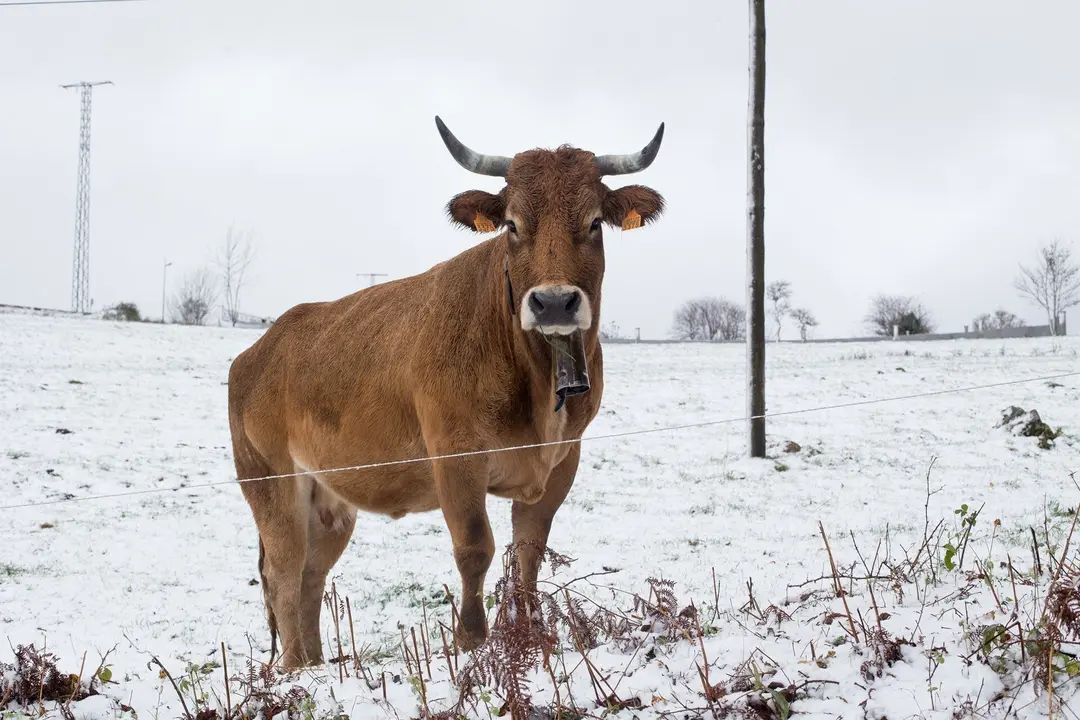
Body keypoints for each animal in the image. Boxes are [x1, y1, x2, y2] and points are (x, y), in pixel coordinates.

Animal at [226, 116, 667, 669]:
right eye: (512, 224)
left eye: (593, 223)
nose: (553, 303)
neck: (537, 381)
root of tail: (259, 348)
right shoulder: (456, 456)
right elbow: (476, 547)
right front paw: (471, 641)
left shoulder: (564, 460)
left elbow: (529, 552)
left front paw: (531, 635)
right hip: (271, 483)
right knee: (284, 572)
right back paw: (293, 671)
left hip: (329, 499)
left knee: (311, 573)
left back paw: (317, 665)